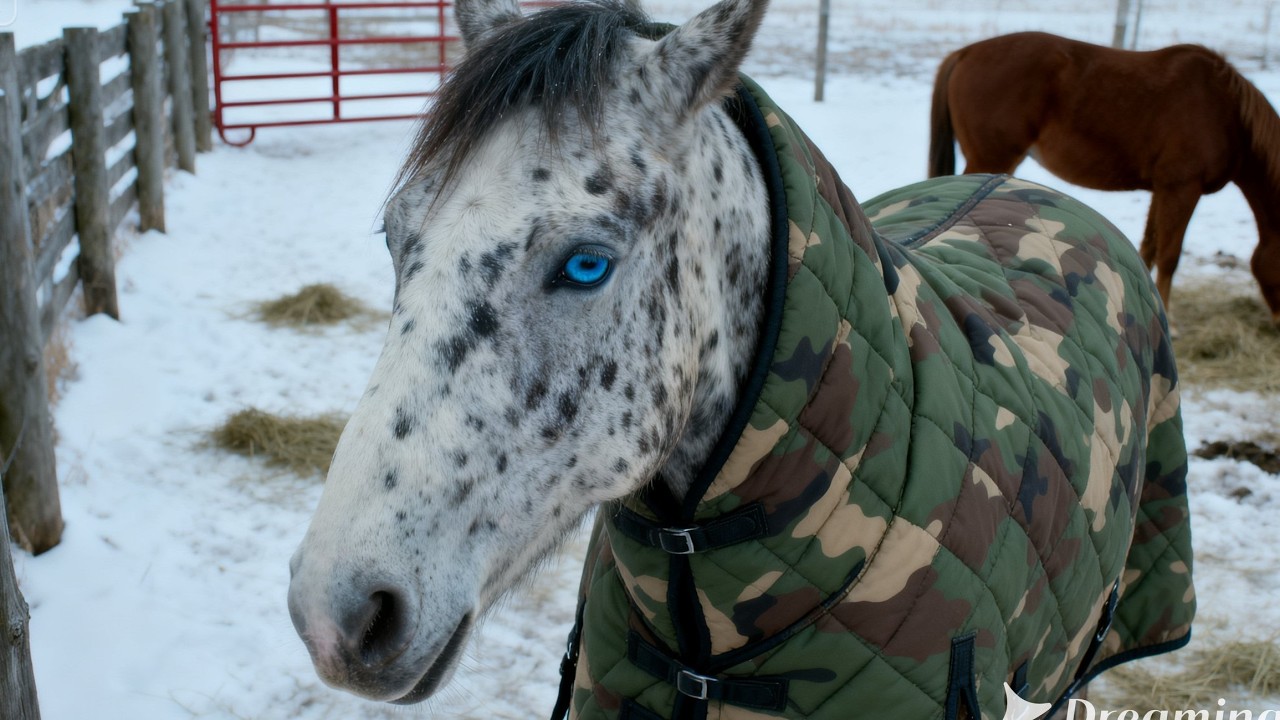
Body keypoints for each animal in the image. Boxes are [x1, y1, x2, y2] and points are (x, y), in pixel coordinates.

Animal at [928, 31, 1280, 324]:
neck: (1225, 110)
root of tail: (964, 53)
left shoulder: (1161, 189)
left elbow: (1149, 247)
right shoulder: (1182, 188)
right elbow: (1169, 256)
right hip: (991, 158)